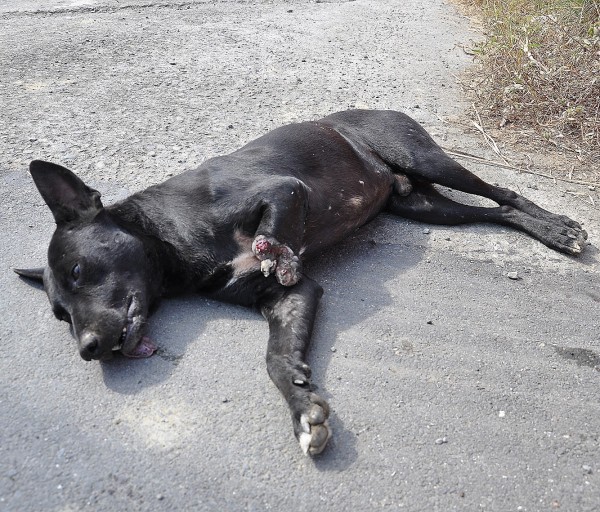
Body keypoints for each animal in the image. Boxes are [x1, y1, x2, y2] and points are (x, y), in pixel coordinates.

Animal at [14, 110, 584, 454]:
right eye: (60, 315)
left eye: (79, 272)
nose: (87, 349)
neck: (169, 234)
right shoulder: (290, 300)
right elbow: (277, 359)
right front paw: (303, 408)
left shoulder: (284, 192)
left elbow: (277, 232)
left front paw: (278, 252)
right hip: (427, 206)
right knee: (493, 212)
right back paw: (545, 229)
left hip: (425, 157)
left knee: (504, 193)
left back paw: (558, 228)